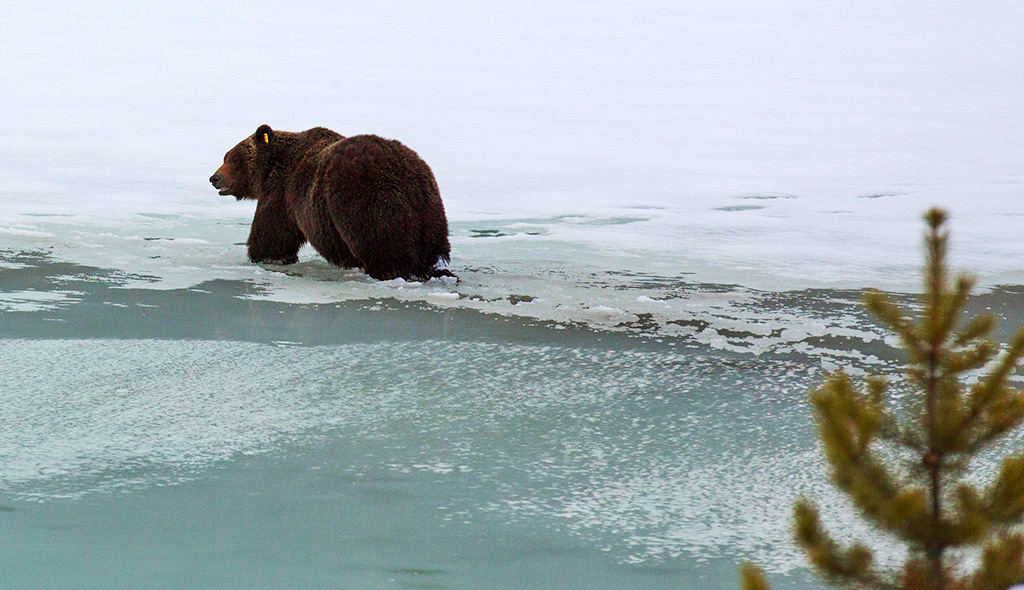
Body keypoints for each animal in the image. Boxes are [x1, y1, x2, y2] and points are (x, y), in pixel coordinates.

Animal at [210, 124, 452, 280]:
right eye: (225, 156)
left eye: (233, 158)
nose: (214, 177)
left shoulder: (282, 193)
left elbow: (273, 233)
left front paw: (264, 256)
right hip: (430, 206)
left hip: (367, 200)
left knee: (382, 245)